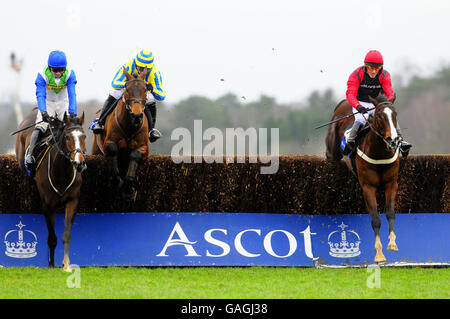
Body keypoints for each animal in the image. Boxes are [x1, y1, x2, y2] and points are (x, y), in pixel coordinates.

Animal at [15, 110, 87, 272]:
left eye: (84, 136)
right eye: (67, 137)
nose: (79, 163)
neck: (62, 172)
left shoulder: (73, 201)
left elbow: (66, 235)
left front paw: (66, 265)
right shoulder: (47, 206)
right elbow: (52, 238)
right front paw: (51, 264)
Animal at [91, 67, 149, 200]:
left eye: (145, 89)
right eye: (127, 89)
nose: (136, 115)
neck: (129, 127)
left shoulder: (144, 147)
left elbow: (135, 154)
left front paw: (128, 187)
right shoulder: (108, 142)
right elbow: (112, 148)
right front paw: (117, 180)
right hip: (96, 151)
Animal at [326, 96, 400, 264]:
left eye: (394, 114)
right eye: (379, 115)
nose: (393, 140)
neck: (380, 153)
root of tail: (342, 103)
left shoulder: (391, 184)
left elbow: (390, 213)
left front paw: (392, 243)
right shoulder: (368, 187)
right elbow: (375, 219)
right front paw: (379, 254)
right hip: (332, 152)